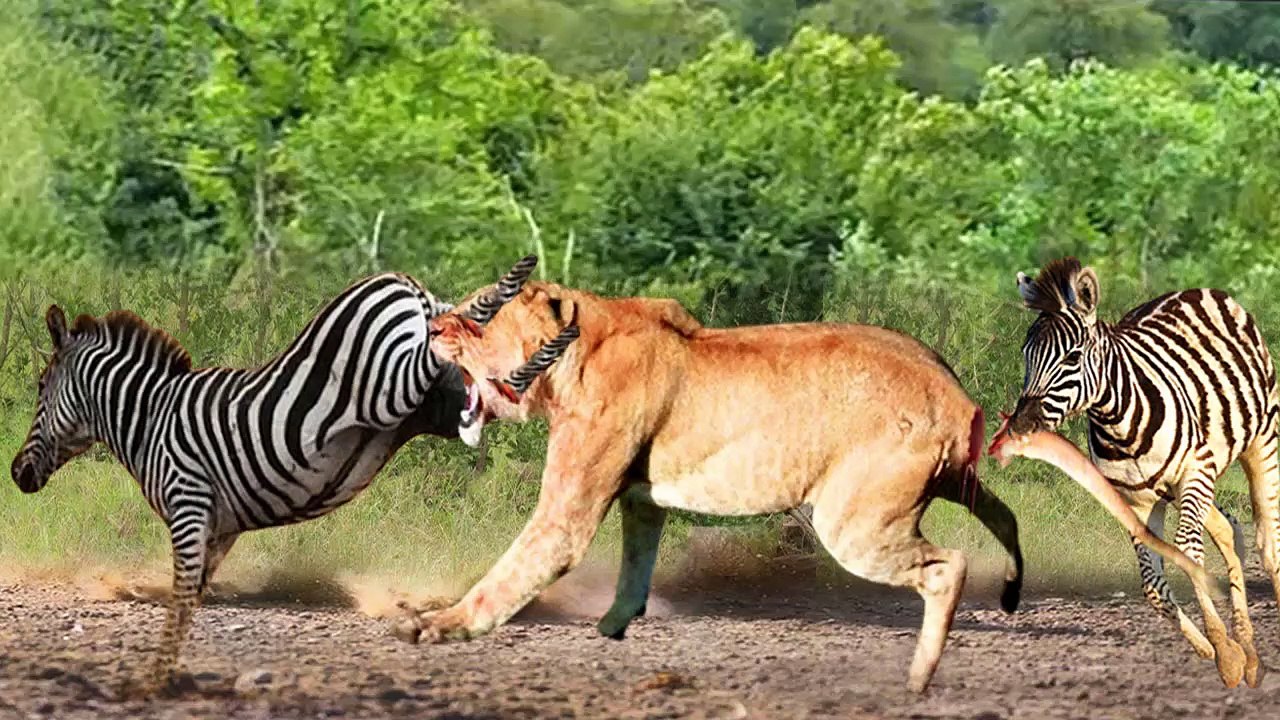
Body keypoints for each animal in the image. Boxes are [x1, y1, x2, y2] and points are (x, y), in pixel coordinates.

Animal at [9, 266, 573, 693]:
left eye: (41, 386)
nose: (17, 474)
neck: (149, 417)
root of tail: (407, 285)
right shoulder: (219, 528)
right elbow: (190, 604)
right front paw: (171, 676)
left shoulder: (187, 506)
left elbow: (179, 599)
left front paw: (151, 682)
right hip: (445, 402)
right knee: (500, 376)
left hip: (389, 385)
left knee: (447, 356)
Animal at [399, 256, 1024, 692]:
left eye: (480, 312)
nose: (432, 326)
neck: (571, 355)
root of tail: (950, 390)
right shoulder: (642, 500)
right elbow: (636, 562)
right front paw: (616, 624)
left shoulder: (566, 514)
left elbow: (511, 570)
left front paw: (438, 624)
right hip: (948, 485)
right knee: (1007, 517)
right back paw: (1009, 592)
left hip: (853, 524)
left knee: (950, 565)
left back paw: (919, 677)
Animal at [1005, 256, 1280, 689]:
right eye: (1026, 354)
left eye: (1073, 357)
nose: (1021, 425)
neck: (1119, 425)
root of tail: (1197, 290)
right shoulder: (1134, 500)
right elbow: (1153, 585)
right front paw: (1214, 649)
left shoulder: (1194, 471)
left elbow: (1187, 552)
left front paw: (1224, 653)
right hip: (1183, 486)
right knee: (1227, 529)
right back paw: (1250, 651)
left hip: (1256, 443)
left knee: (1268, 543)